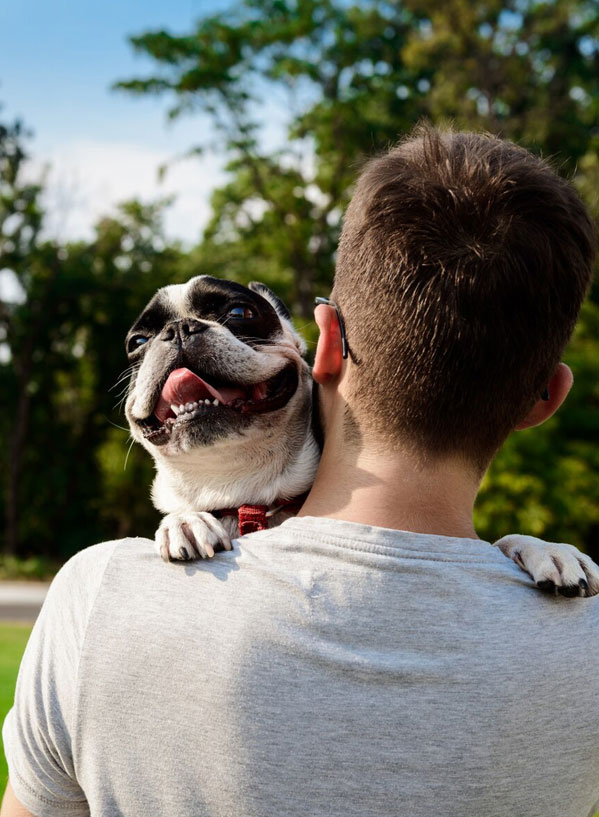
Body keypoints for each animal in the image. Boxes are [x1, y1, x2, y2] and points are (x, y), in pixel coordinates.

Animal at [125, 272, 599, 592]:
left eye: (240, 313)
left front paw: (549, 549)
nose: (179, 328)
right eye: (137, 343)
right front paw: (185, 521)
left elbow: (502, 539)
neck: (246, 492)